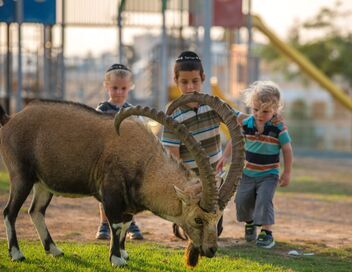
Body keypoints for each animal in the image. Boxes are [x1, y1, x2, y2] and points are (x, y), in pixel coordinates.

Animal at [0, 93, 243, 266]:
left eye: (217, 218)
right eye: (198, 219)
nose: (211, 250)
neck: (145, 162)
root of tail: (11, 120)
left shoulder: (128, 203)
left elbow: (126, 224)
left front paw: (124, 254)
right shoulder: (111, 193)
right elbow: (116, 224)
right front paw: (116, 259)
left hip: (43, 184)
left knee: (36, 211)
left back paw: (55, 250)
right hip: (21, 176)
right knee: (10, 212)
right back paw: (17, 254)